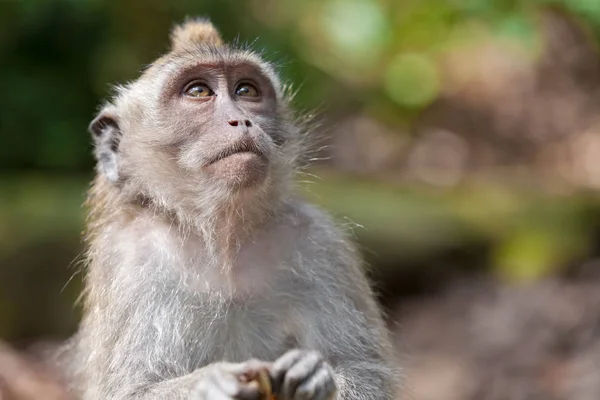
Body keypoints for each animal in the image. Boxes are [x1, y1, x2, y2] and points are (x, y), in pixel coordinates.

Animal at [62, 16, 398, 400]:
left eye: (246, 91)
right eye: (198, 92)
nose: (241, 120)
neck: (223, 238)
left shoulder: (321, 243)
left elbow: (368, 373)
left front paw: (315, 376)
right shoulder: (128, 261)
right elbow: (129, 391)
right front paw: (212, 383)